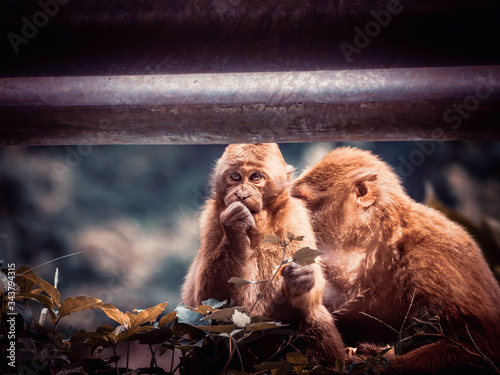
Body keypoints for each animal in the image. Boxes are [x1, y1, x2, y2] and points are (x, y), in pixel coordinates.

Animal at [182, 143, 346, 364]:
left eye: (255, 177)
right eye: (235, 176)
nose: (242, 194)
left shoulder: (296, 216)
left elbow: (312, 294)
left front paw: (303, 278)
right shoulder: (212, 220)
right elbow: (207, 304)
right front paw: (234, 229)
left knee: (311, 314)